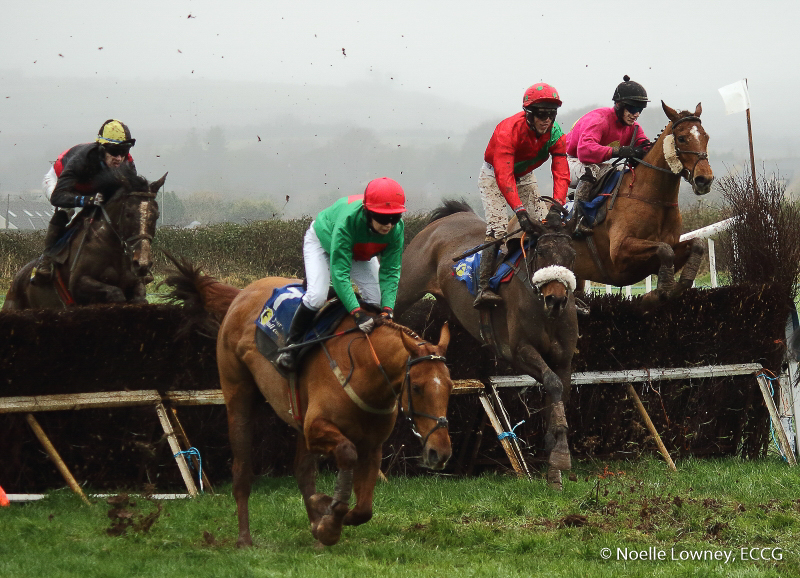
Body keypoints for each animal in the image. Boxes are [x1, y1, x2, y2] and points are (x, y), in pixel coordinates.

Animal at [1, 166, 166, 310]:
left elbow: (139, 297)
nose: (142, 263)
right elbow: (115, 293)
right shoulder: (79, 284)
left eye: (157, 215)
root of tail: (16, 280)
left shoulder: (136, 284)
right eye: (128, 214)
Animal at [161, 256, 456, 544]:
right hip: (238, 396)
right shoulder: (317, 427)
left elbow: (363, 509)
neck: (364, 368)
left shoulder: (371, 444)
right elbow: (346, 454)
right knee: (242, 470)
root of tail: (242, 293)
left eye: (450, 386)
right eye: (417, 387)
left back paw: (314, 525)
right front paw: (329, 514)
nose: (439, 453)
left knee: (302, 471)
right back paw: (245, 539)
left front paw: (326, 520)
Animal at [396, 201, 580, 486]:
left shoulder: (564, 359)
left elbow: (558, 392)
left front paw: (555, 465)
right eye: (542, 252)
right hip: (406, 286)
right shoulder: (518, 351)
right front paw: (559, 455)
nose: (556, 299)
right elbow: (552, 383)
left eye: (571, 255)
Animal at [572, 101, 716, 306]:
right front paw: (660, 292)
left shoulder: (669, 247)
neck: (654, 199)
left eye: (706, 136)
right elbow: (664, 250)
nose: (705, 180)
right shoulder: (619, 253)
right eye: (681, 138)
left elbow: (696, 244)